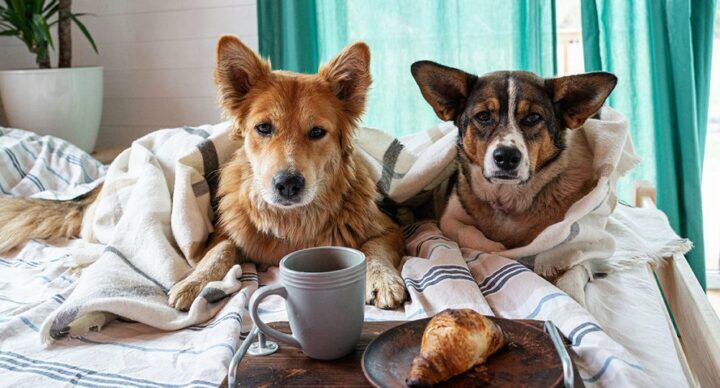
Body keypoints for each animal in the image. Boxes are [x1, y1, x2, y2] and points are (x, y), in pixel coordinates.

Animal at [414, 61, 616, 304]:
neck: (507, 197)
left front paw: (573, 295)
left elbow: (577, 265)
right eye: (483, 116)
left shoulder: (587, 242)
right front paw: (496, 247)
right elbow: (468, 232)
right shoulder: (448, 217)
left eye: (533, 117)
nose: (507, 156)